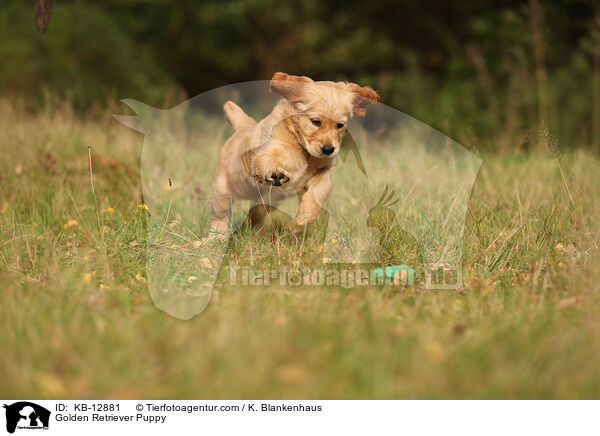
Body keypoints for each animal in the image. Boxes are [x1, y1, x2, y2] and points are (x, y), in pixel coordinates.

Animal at [209, 72, 378, 235]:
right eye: (316, 122)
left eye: (340, 125)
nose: (328, 149)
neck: (302, 146)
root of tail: (243, 126)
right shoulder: (268, 150)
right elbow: (268, 160)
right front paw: (276, 172)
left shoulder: (324, 170)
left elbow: (322, 189)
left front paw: (305, 216)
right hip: (223, 192)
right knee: (219, 216)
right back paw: (217, 237)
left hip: (262, 203)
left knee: (257, 213)